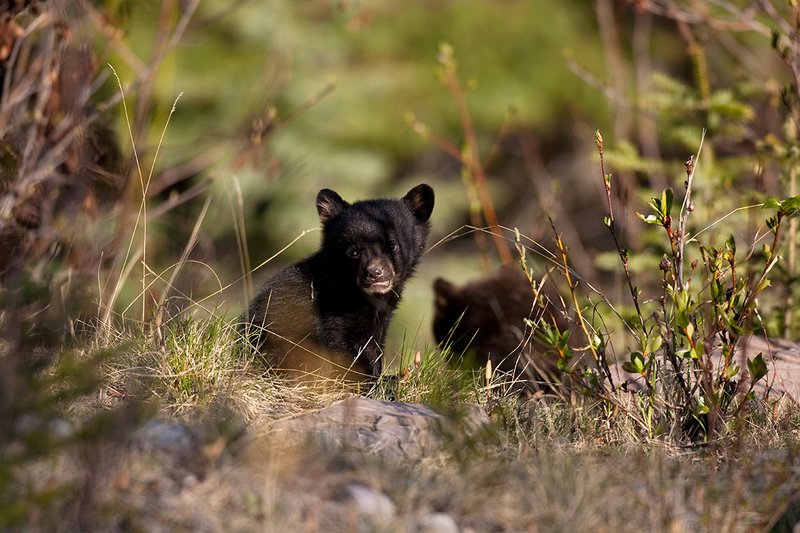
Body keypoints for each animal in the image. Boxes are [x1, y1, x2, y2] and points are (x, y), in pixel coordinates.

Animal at [243, 184, 435, 385]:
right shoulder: (333, 314)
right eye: (354, 251)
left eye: (392, 245)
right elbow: (347, 349)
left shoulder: (381, 320)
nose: (374, 273)